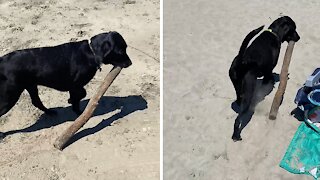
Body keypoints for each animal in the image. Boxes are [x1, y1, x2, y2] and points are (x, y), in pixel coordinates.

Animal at [0, 31, 131, 118]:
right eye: (120, 51)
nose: (130, 63)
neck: (91, 52)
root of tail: (1, 61)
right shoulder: (75, 85)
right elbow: (81, 95)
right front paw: (75, 107)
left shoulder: (74, 87)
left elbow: (79, 97)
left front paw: (72, 103)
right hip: (10, 96)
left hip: (31, 86)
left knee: (36, 102)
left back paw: (50, 112)